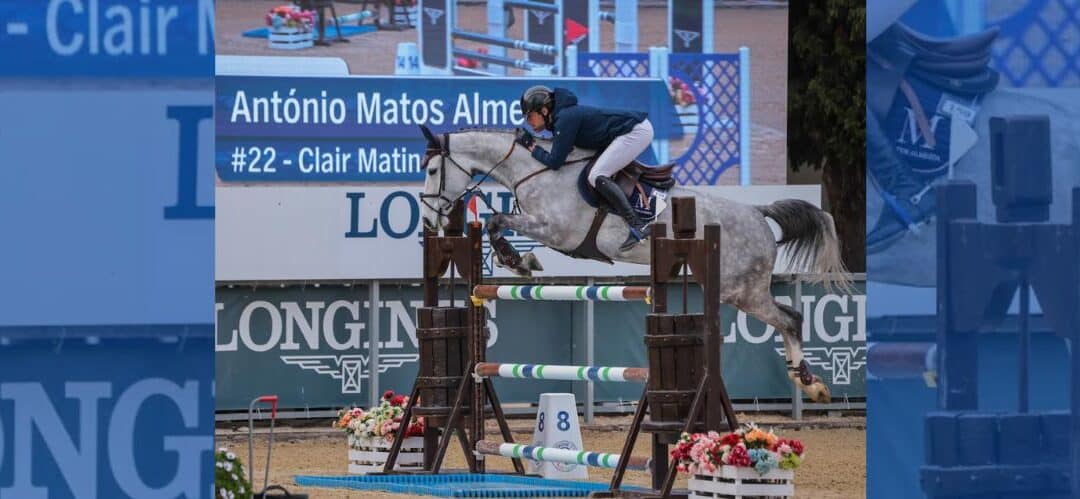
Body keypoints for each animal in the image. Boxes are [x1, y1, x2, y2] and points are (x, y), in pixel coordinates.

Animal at [416, 124, 846, 401]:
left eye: (434, 170)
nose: (429, 219)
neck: (536, 170)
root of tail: (759, 213)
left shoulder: (555, 230)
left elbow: (497, 222)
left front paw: (519, 261)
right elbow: (497, 223)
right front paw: (519, 261)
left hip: (741, 290)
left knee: (790, 318)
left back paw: (810, 383)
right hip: (743, 290)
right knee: (790, 317)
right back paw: (808, 381)